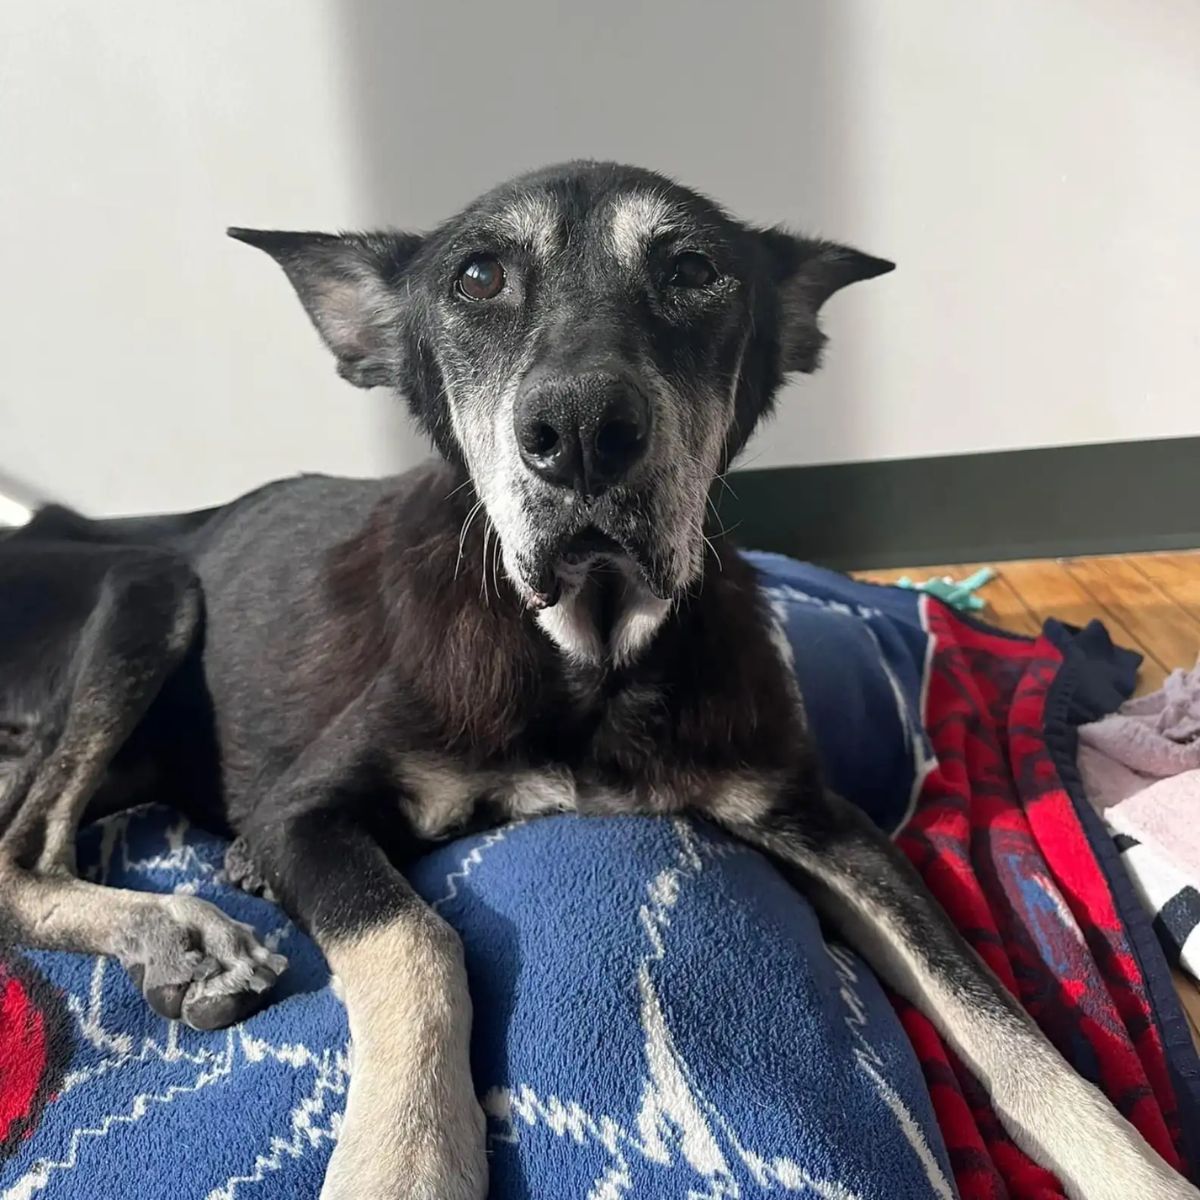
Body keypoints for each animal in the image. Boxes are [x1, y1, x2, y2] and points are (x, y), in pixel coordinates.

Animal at [0, 162, 1195, 1200]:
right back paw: (180, 931)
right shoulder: (304, 812)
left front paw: (1139, 1172)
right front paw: (403, 1163)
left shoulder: (821, 818)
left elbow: (998, 1015)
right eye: (477, 276)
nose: (579, 432)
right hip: (151, 588)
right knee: (22, 854)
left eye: (695, 269)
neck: (590, 655)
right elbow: (420, 943)